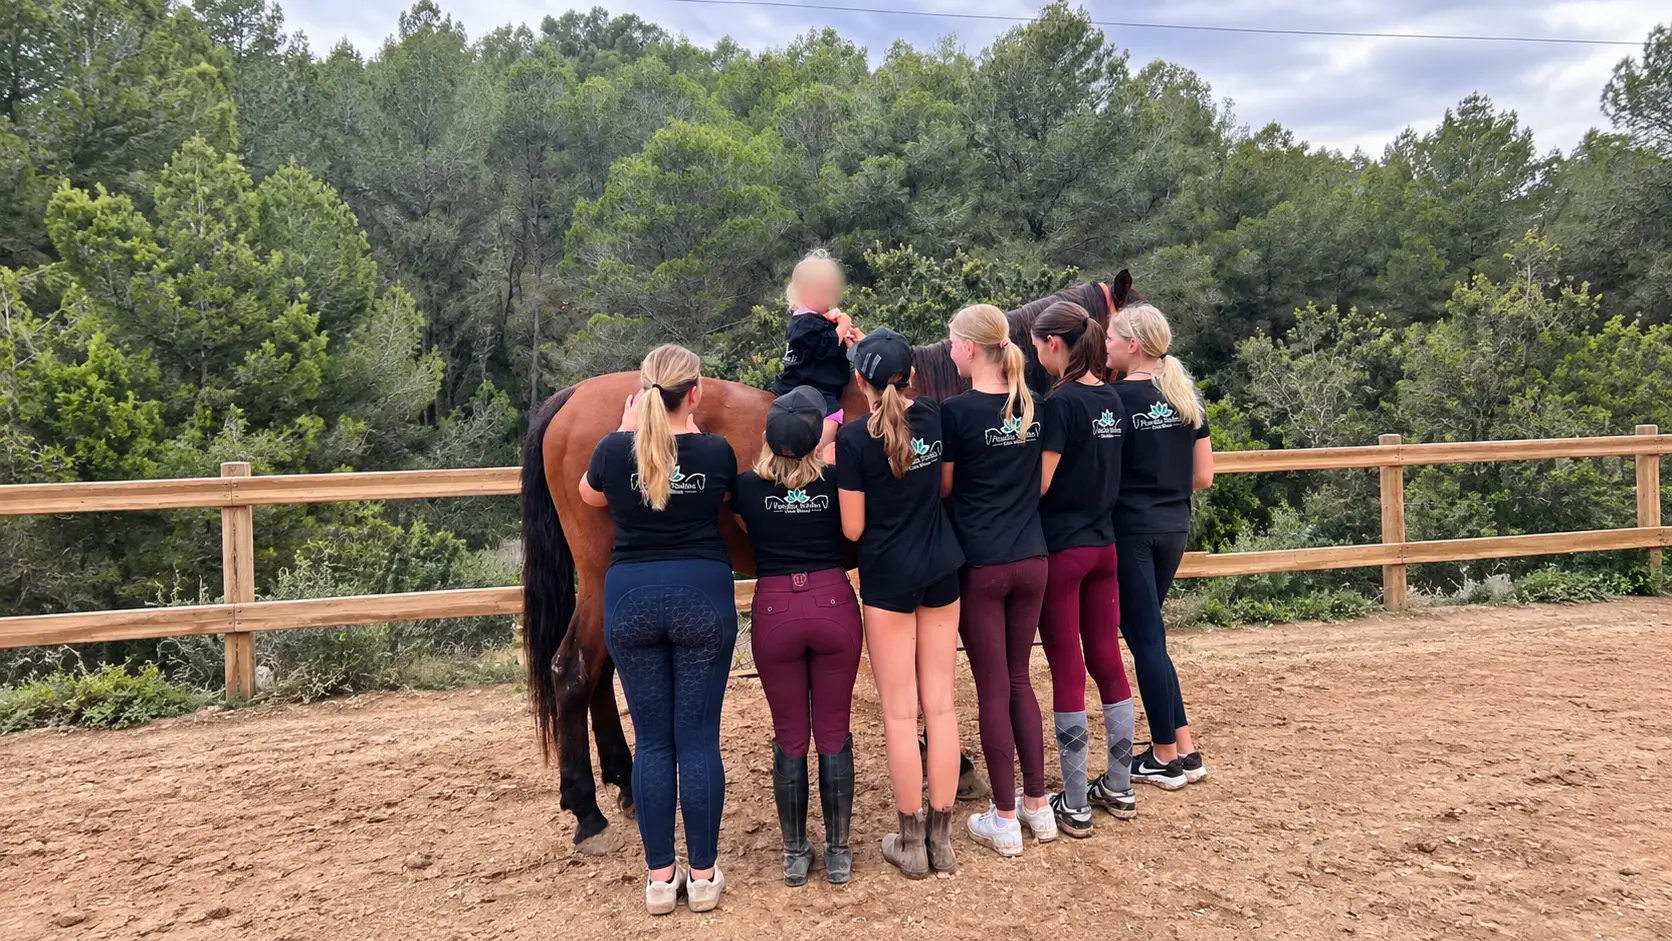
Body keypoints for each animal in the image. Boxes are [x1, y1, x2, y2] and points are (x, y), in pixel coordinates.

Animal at [522, 272, 1144, 852]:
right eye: (1121, 336)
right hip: (602, 578)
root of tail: (570, 397)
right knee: (572, 671)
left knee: (598, 674)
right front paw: (952, 760)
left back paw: (621, 781)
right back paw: (587, 810)